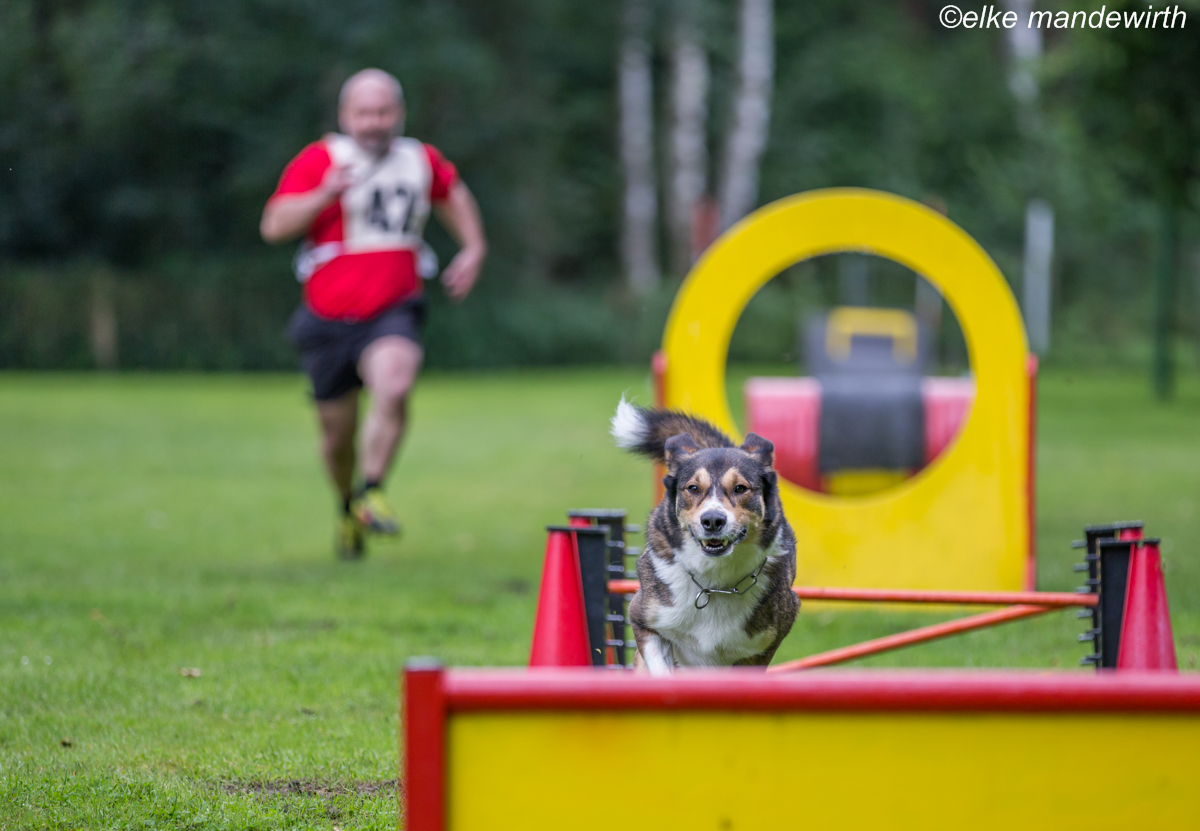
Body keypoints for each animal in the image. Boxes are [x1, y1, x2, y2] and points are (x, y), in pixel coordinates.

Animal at [611, 398, 799, 675]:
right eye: (693, 488)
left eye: (740, 488)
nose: (712, 521)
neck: (714, 582)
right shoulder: (643, 618)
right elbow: (660, 669)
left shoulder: (762, 645)